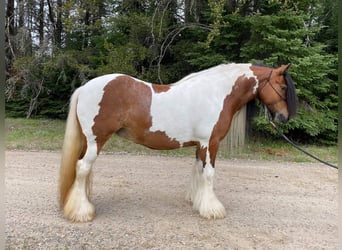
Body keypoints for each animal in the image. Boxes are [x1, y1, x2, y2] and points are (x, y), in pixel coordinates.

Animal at [58, 63, 296, 222]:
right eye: (283, 87)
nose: (283, 117)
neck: (215, 94)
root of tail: (85, 88)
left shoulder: (200, 145)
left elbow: (199, 171)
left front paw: (198, 202)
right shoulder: (210, 143)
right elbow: (209, 174)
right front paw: (213, 209)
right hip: (96, 140)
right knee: (82, 168)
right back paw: (81, 211)